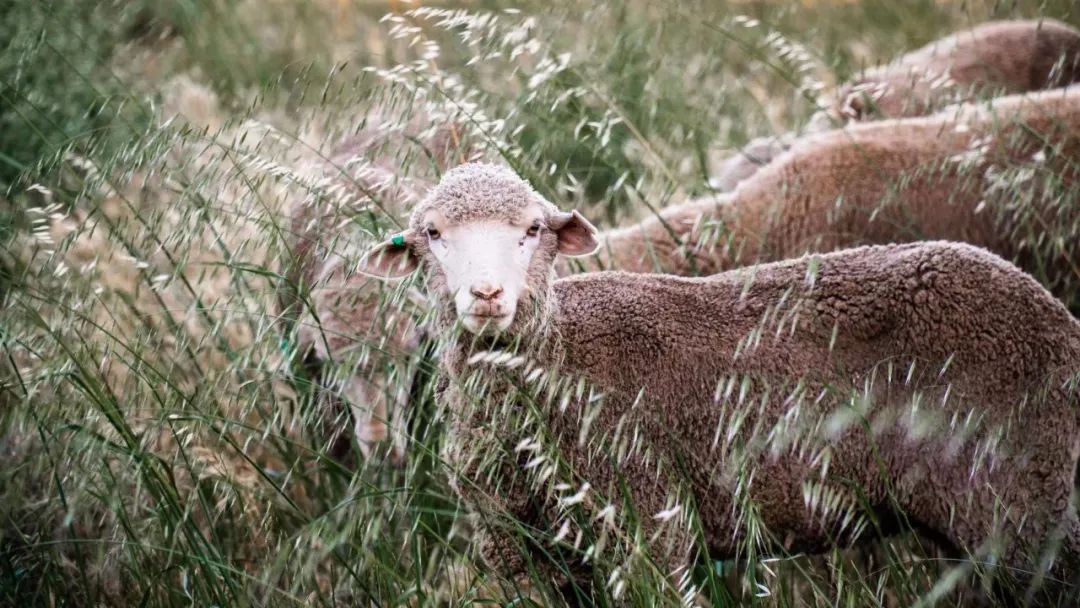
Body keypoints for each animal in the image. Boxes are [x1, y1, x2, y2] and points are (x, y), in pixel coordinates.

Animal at [362, 161, 1080, 604]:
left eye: (532, 230)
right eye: (432, 234)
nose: (487, 296)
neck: (559, 362)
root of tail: (1057, 318)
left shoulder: (644, 525)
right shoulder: (527, 558)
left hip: (1029, 507)